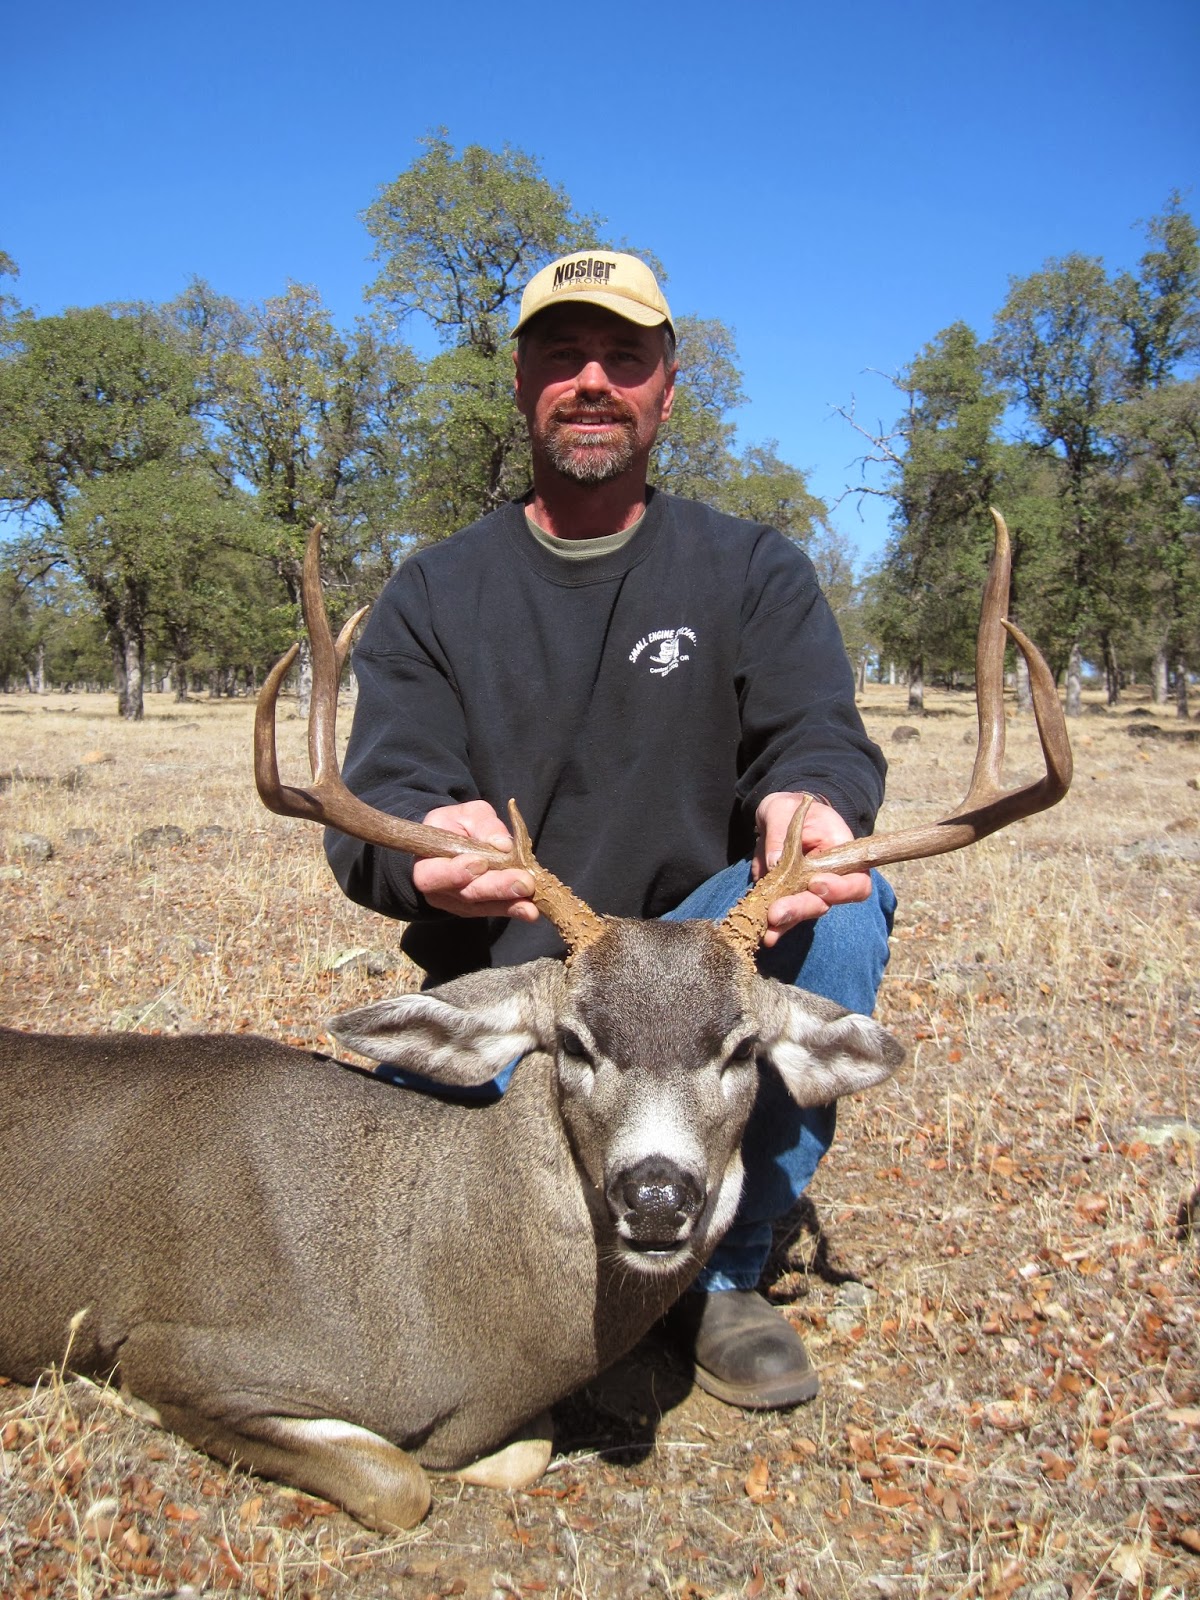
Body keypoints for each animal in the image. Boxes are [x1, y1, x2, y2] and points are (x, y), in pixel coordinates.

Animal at [0, 511, 1071, 1533]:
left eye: (739, 1049)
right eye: (576, 1044)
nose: (656, 1196)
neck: (431, 1289)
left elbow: (516, 1453)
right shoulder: (182, 1347)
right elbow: (401, 1482)